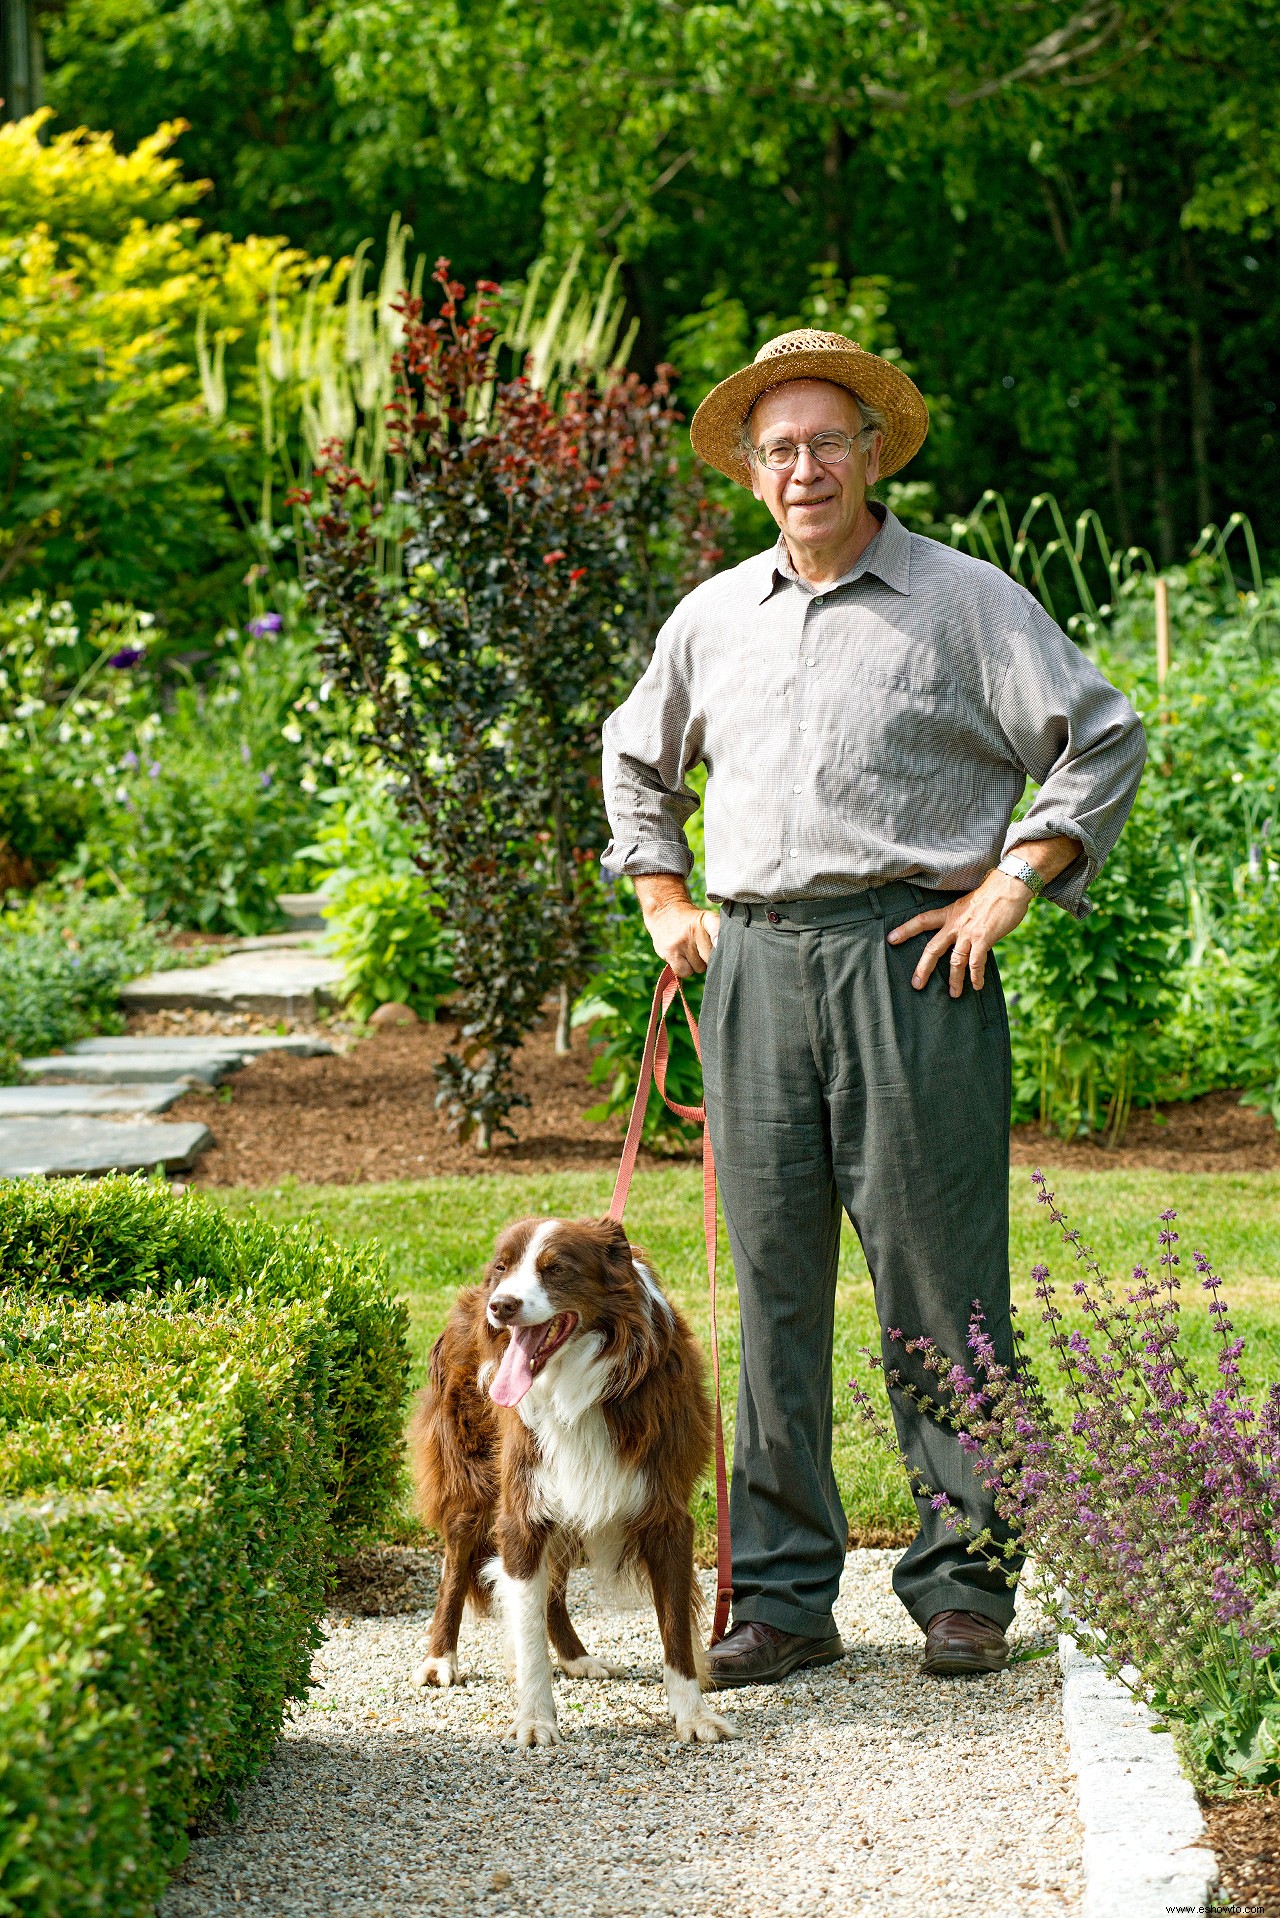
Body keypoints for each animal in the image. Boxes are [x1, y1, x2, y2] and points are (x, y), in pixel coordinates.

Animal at [404, 1219, 736, 1749]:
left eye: (556, 1268)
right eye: (503, 1266)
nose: (501, 1305)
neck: (574, 1385)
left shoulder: (664, 1511)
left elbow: (676, 1632)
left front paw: (693, 1716)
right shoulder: (521, 1509)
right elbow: (526, 1628)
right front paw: (535, 1719)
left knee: (553, 1591)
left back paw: (576, 1657)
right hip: (471, 1483)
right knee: (456, 1564)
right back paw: (440, 1659)